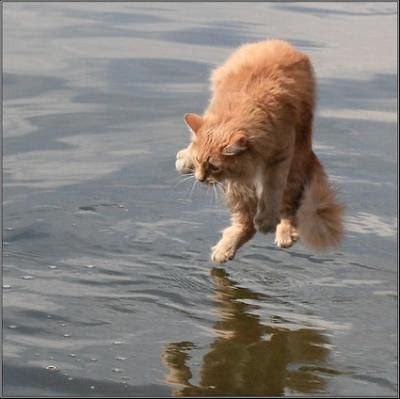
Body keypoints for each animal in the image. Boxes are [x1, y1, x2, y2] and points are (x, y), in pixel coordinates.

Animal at [175, 39, 344, 266]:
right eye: (200, 162)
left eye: (214, 167)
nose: (200, 179)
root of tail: (281, 43)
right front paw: (186, 160)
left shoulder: (280, 156)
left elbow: (272, 190)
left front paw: (266, 219)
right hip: (239, 187)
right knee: (247, 225)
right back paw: (225, 249)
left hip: (293, 166)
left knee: (286, 210)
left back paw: (281, 233)